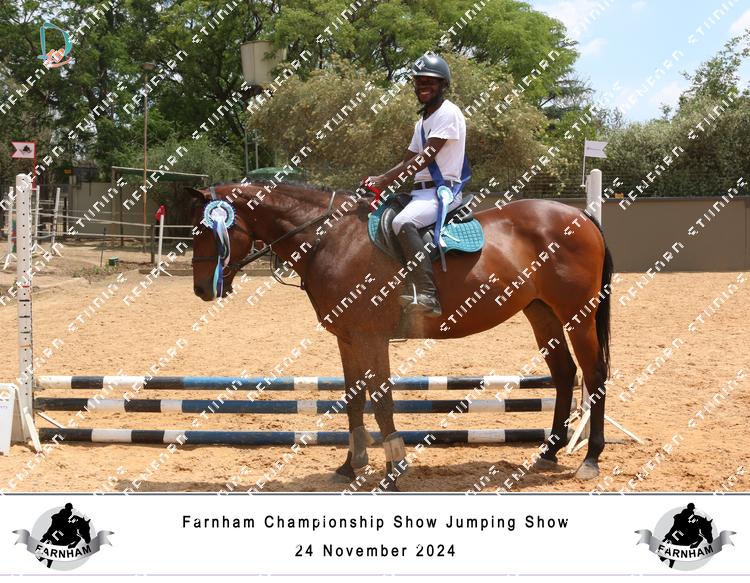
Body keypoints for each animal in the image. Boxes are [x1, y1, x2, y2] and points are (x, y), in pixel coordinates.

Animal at [186, 180, 613, 490]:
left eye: (209, 230)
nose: (202, 290)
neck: (333, 239)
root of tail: (579, 214)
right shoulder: (348, 338)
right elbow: (354, 399)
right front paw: (350, 466)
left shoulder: (371, 337)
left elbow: (381, 401)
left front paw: (394, 469)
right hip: (542, 312)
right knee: (564, 373)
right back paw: (550, 452)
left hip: (578, 314)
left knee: (593, 375)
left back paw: (590, 458)